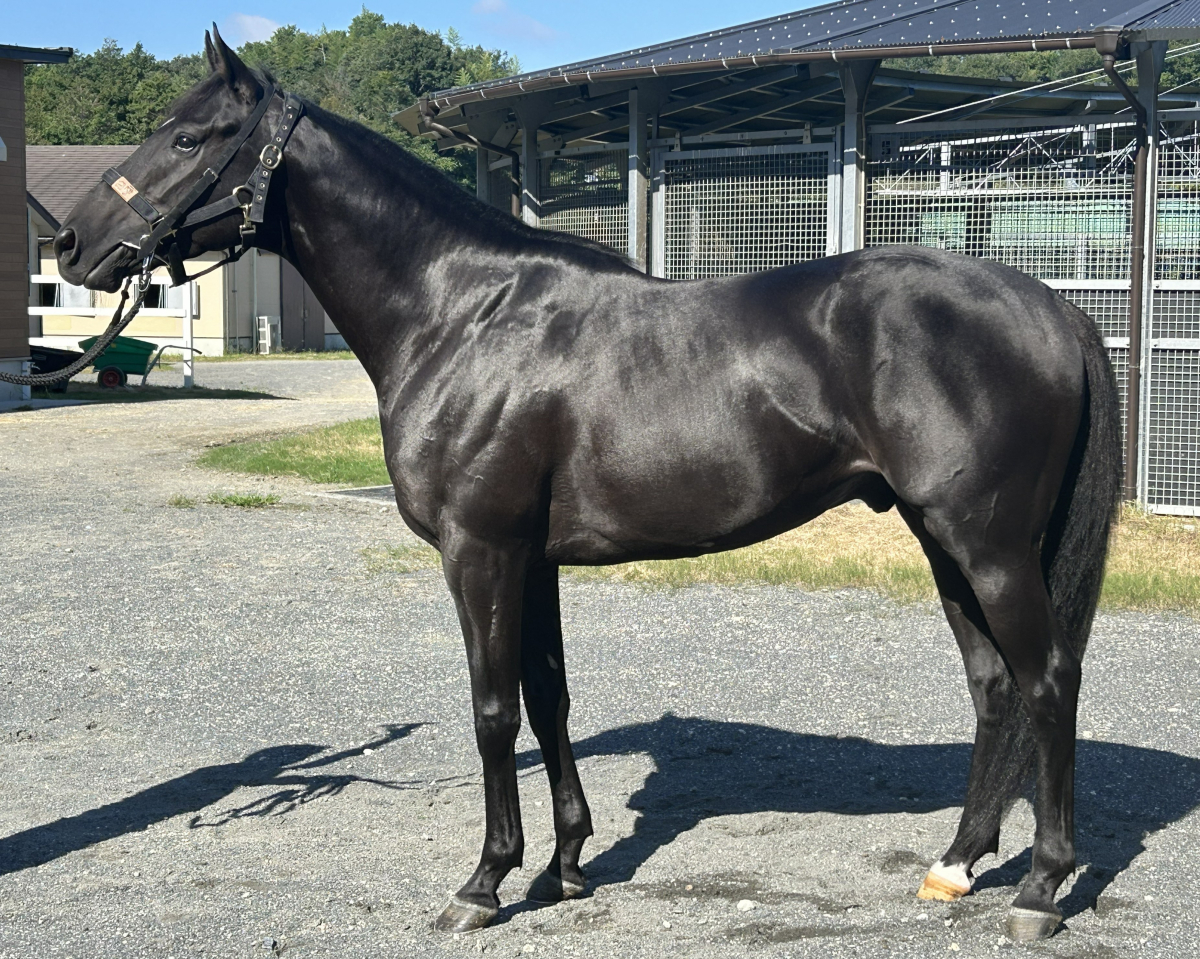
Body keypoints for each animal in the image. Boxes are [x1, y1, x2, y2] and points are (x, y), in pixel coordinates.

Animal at [53, 29, 1121, 942]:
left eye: (189, 136)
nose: (70, 244)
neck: (462, 313)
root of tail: (1052, 308)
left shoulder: (480, 551)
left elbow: (493, 710)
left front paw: (484, 881)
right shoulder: (533, 560)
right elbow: (550, 697)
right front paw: (564, 864)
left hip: (987, 545)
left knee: (1048, 680)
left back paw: (1038, 887)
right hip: (944, 542)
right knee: (993, 686)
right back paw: (956, 863)